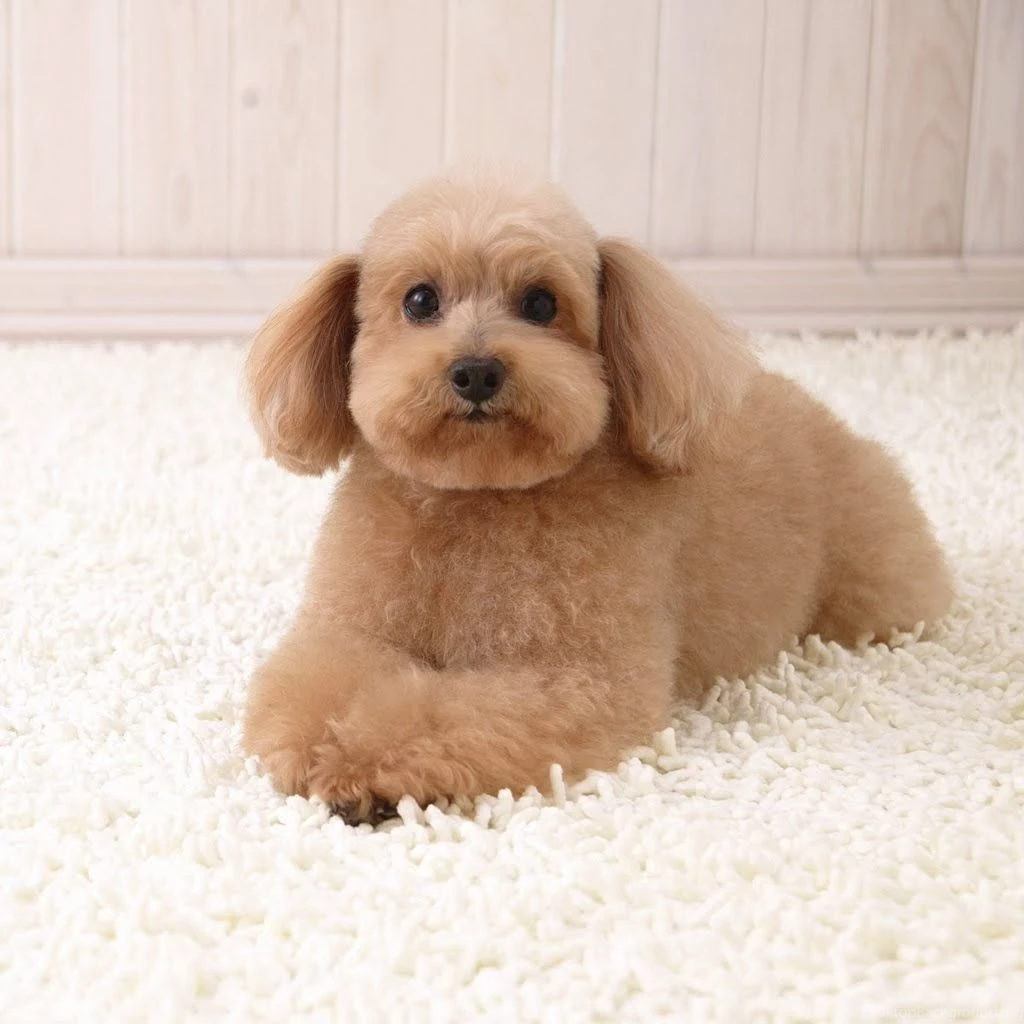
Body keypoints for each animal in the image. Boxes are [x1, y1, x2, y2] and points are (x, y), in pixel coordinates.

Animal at [242, 172, 952, 823]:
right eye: (420, 300)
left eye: (540, 303)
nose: (476, 371)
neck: (479, 494)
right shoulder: (350, 626)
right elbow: (312, 683)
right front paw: (321, 746)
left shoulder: (577, 675)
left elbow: (443, 712)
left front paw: (362, 761)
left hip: (871, 580)